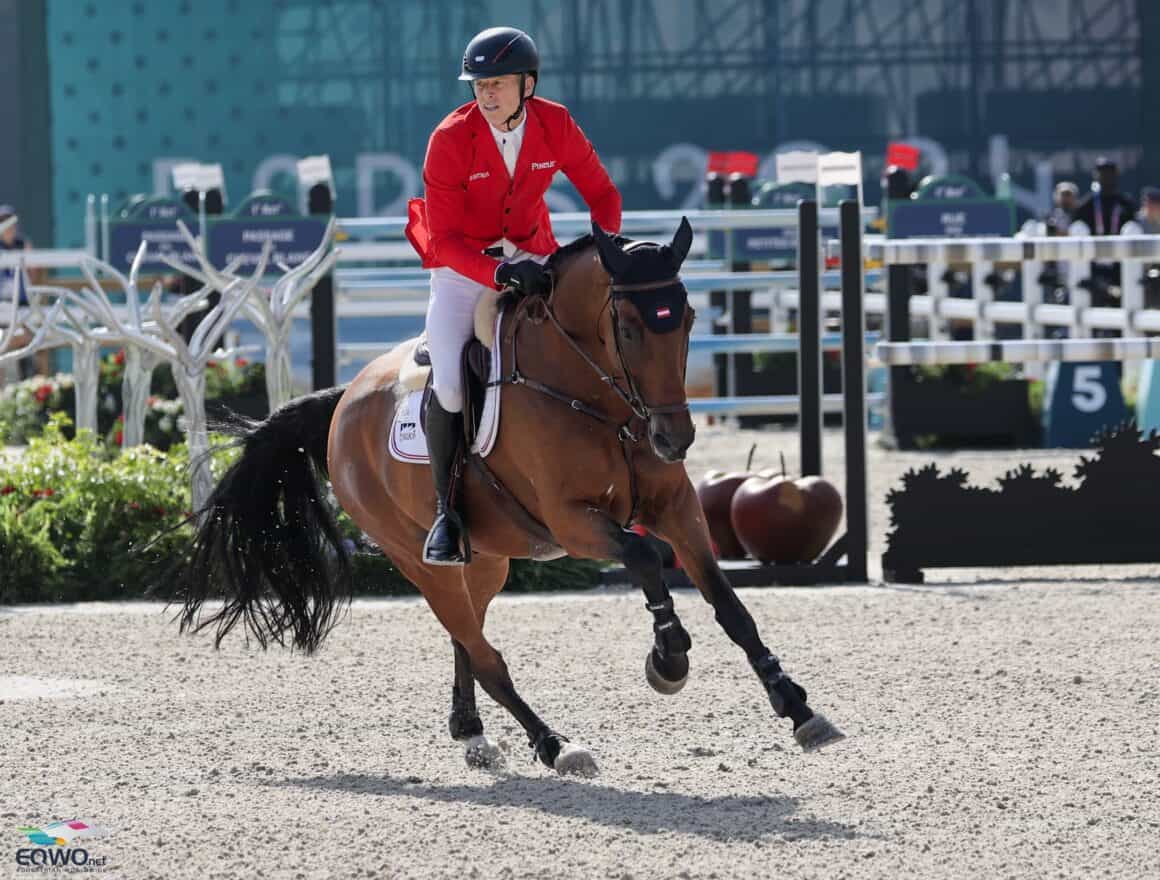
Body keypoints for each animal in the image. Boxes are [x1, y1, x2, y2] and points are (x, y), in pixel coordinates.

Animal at [171, 220, 844, 779]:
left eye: (687, 318)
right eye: (627, 328)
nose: (674, 438)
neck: (599, 400)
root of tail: (342, 401)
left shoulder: (678, 511)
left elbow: (731, 606)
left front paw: (797, 706)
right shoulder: (574, 523)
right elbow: (646, 559)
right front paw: (668, 658)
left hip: (487, 561)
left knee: (466, 638)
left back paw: (471, 733)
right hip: (417, 559)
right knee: (486, 654)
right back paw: (553, 743)